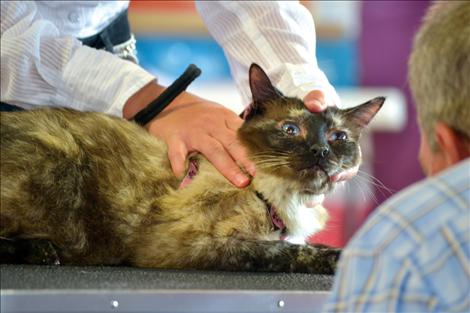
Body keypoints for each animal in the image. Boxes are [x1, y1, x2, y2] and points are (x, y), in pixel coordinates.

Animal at [0, 64, 384, 272]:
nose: (320, 150)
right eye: (291, 130)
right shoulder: (197, 244)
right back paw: (41, 251)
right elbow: (286, 251)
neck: (275, 196)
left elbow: (308, 245)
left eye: (338, 137)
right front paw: (342, 259)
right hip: (53, 162)